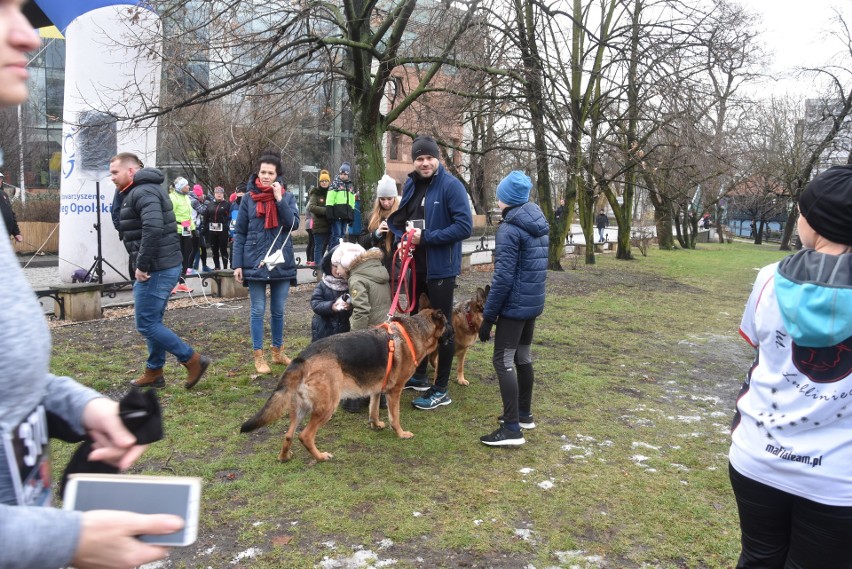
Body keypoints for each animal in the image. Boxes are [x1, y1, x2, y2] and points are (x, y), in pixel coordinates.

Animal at [240, 292, 450, 462]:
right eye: (448, 325)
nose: (454, 336)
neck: (415, 331)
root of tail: (303, 357)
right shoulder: (394, 392)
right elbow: (395, 417)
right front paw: (400, 433)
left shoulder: (376, 390)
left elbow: (373, 410)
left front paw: (375, 425)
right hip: (327, 406)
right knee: (305, 436)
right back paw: (320, 457)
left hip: (301, 408)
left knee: (289, 435)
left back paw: (284, 457)